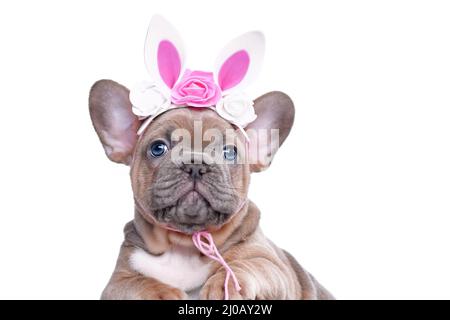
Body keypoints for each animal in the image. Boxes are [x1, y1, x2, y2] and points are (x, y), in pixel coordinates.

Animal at [89, 79, 334, 298]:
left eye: (229, 152)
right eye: (158, 148)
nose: (196, 164)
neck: (184, 246)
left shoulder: (274, 265)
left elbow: (251, 266)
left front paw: (225, 285)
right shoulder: (118, 280)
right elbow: (137, 283)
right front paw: (163, 293)